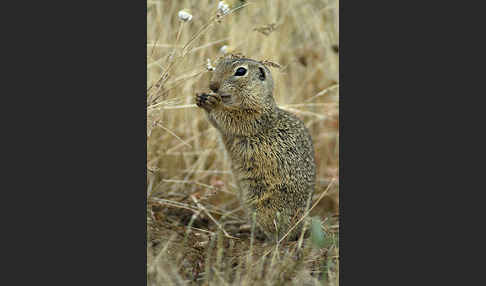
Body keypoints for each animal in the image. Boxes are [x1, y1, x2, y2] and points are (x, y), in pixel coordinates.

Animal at [196, 56, 318, 241]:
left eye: (240, 71)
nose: (213, 86)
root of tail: (301, 225)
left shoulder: (254, 116)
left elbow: (233, 117)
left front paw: (213, 103)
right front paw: (201, 98)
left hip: (263, 206)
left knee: (281, 233)